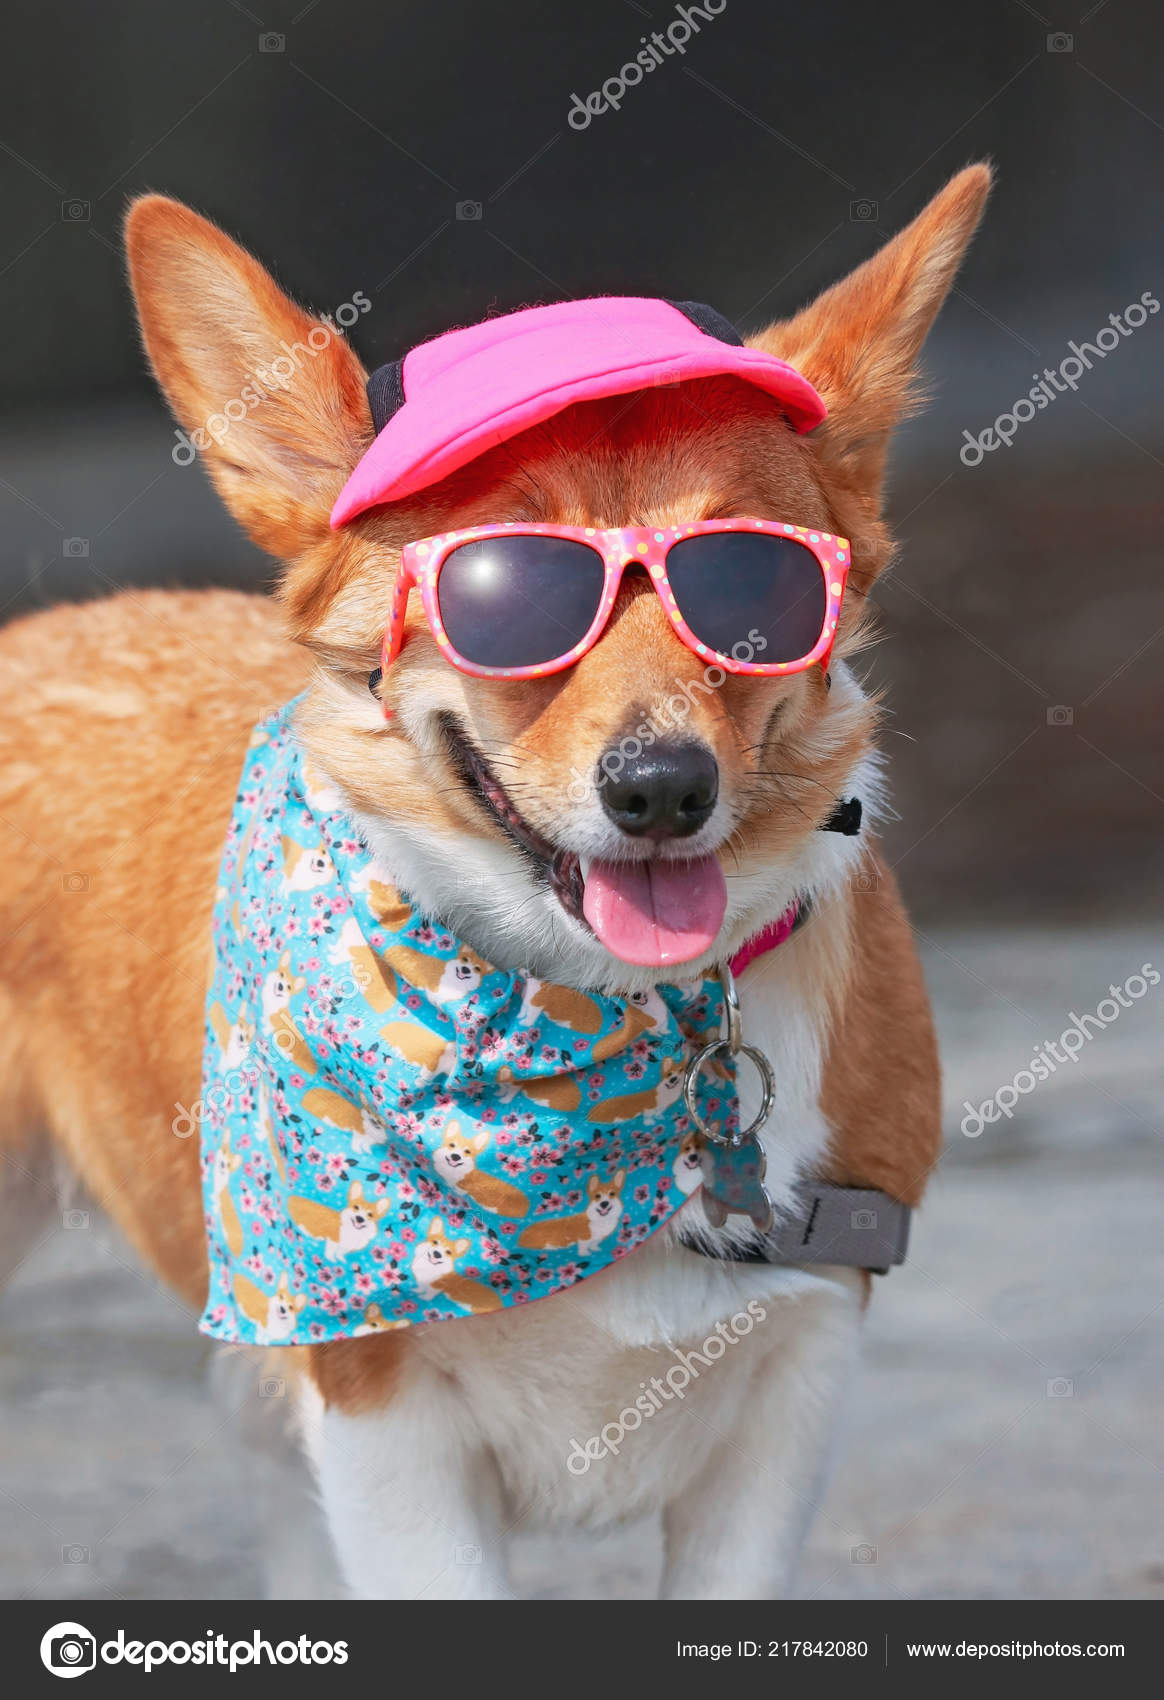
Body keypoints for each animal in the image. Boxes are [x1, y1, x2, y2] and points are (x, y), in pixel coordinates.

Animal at [0, 159, 978, 1591]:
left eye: (755, 586)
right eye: (507, 595)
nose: (662, 787)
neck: (585, 1012)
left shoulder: (790, 1396)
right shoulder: (382, 1425)